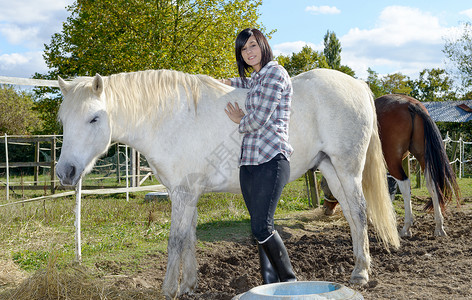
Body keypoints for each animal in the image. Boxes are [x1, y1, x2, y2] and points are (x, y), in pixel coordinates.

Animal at [57, 69, 400, 298]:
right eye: (63, 120)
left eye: (94, 118)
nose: (65, 172)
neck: (169, 118)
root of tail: (358, 85)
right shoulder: (188, 194)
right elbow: (189, 237)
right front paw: (188, 285)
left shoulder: (183, 193)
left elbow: (175, 240)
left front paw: (169, 290)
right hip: (330, 169)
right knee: (352, 215)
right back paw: (359, 266)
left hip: (347, 168)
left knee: (359, 211)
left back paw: (361, 274)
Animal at [324, 94, 460, 237]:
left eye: (325, 187)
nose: (326, 209)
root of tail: (410, 104)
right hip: (423, 157)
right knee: (432, 185)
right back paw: (439, 226)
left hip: (393, 161)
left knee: (405, 184)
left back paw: (406, 227)